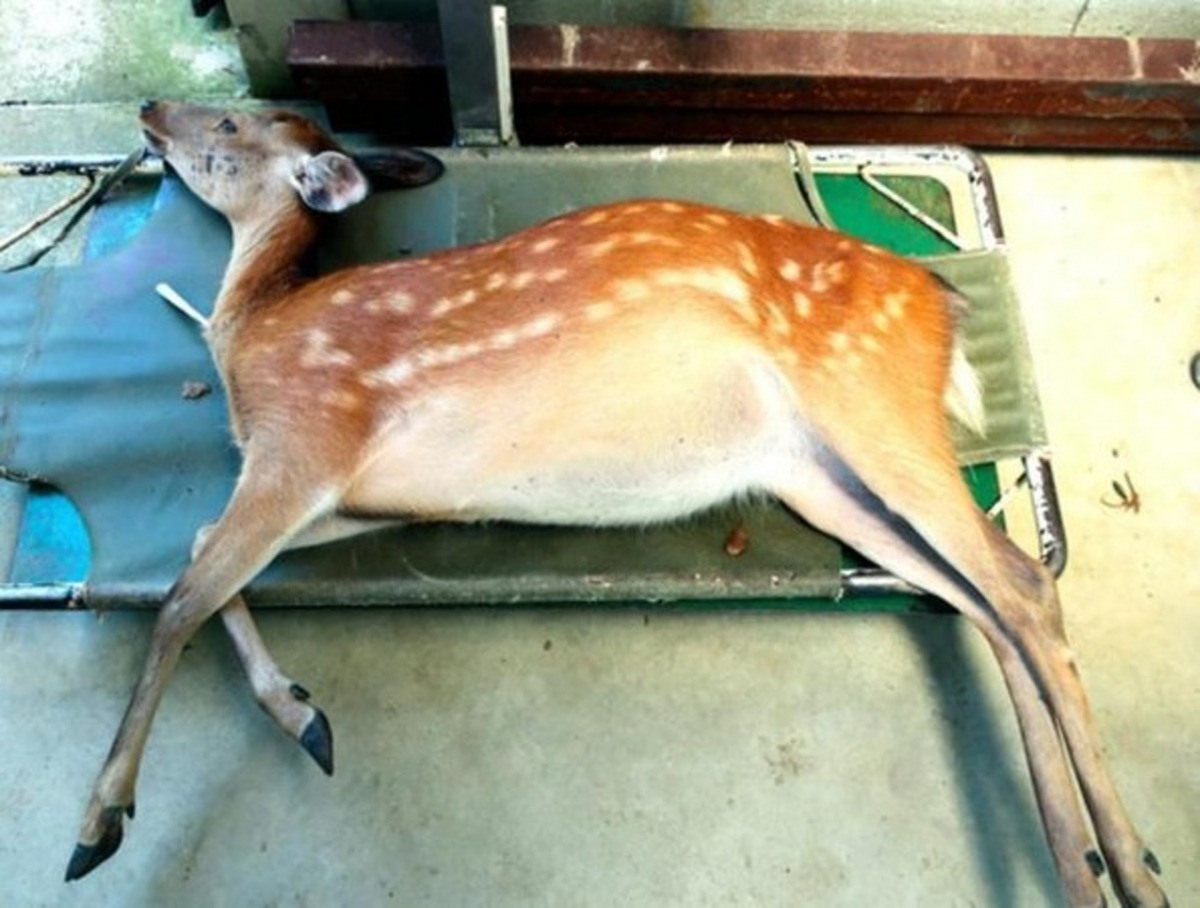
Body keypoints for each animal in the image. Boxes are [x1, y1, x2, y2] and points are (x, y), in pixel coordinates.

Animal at [63, 100, 1166, 907]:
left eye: (231, 121)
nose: (150, 110)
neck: (253, 335)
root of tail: (944, 299)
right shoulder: (361, 495)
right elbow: (200, 556)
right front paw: (303, 714)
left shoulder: (308, 437)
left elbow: (179, 594)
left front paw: (100, 820)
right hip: (815, 473)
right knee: (978, 600)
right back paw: (1076, 862)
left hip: (867, 393)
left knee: (1019, 582)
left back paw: (1133, 862)